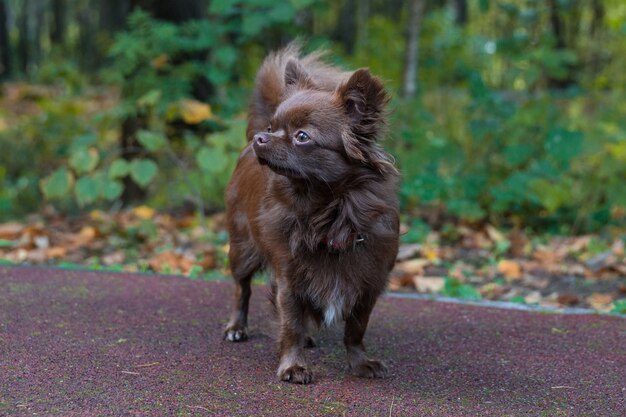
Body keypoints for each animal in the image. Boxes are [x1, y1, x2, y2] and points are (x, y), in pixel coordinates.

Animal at [224, 44, 398, 384]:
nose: (261, 138)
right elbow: (290, 324)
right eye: (272, 128)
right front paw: (293, 366)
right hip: (243, 248)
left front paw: (360, 363)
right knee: (242, 288)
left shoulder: (368, 282)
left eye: (302, 136)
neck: (326, 212)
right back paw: (236, 327)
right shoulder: (290, 277)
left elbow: (355, 330)